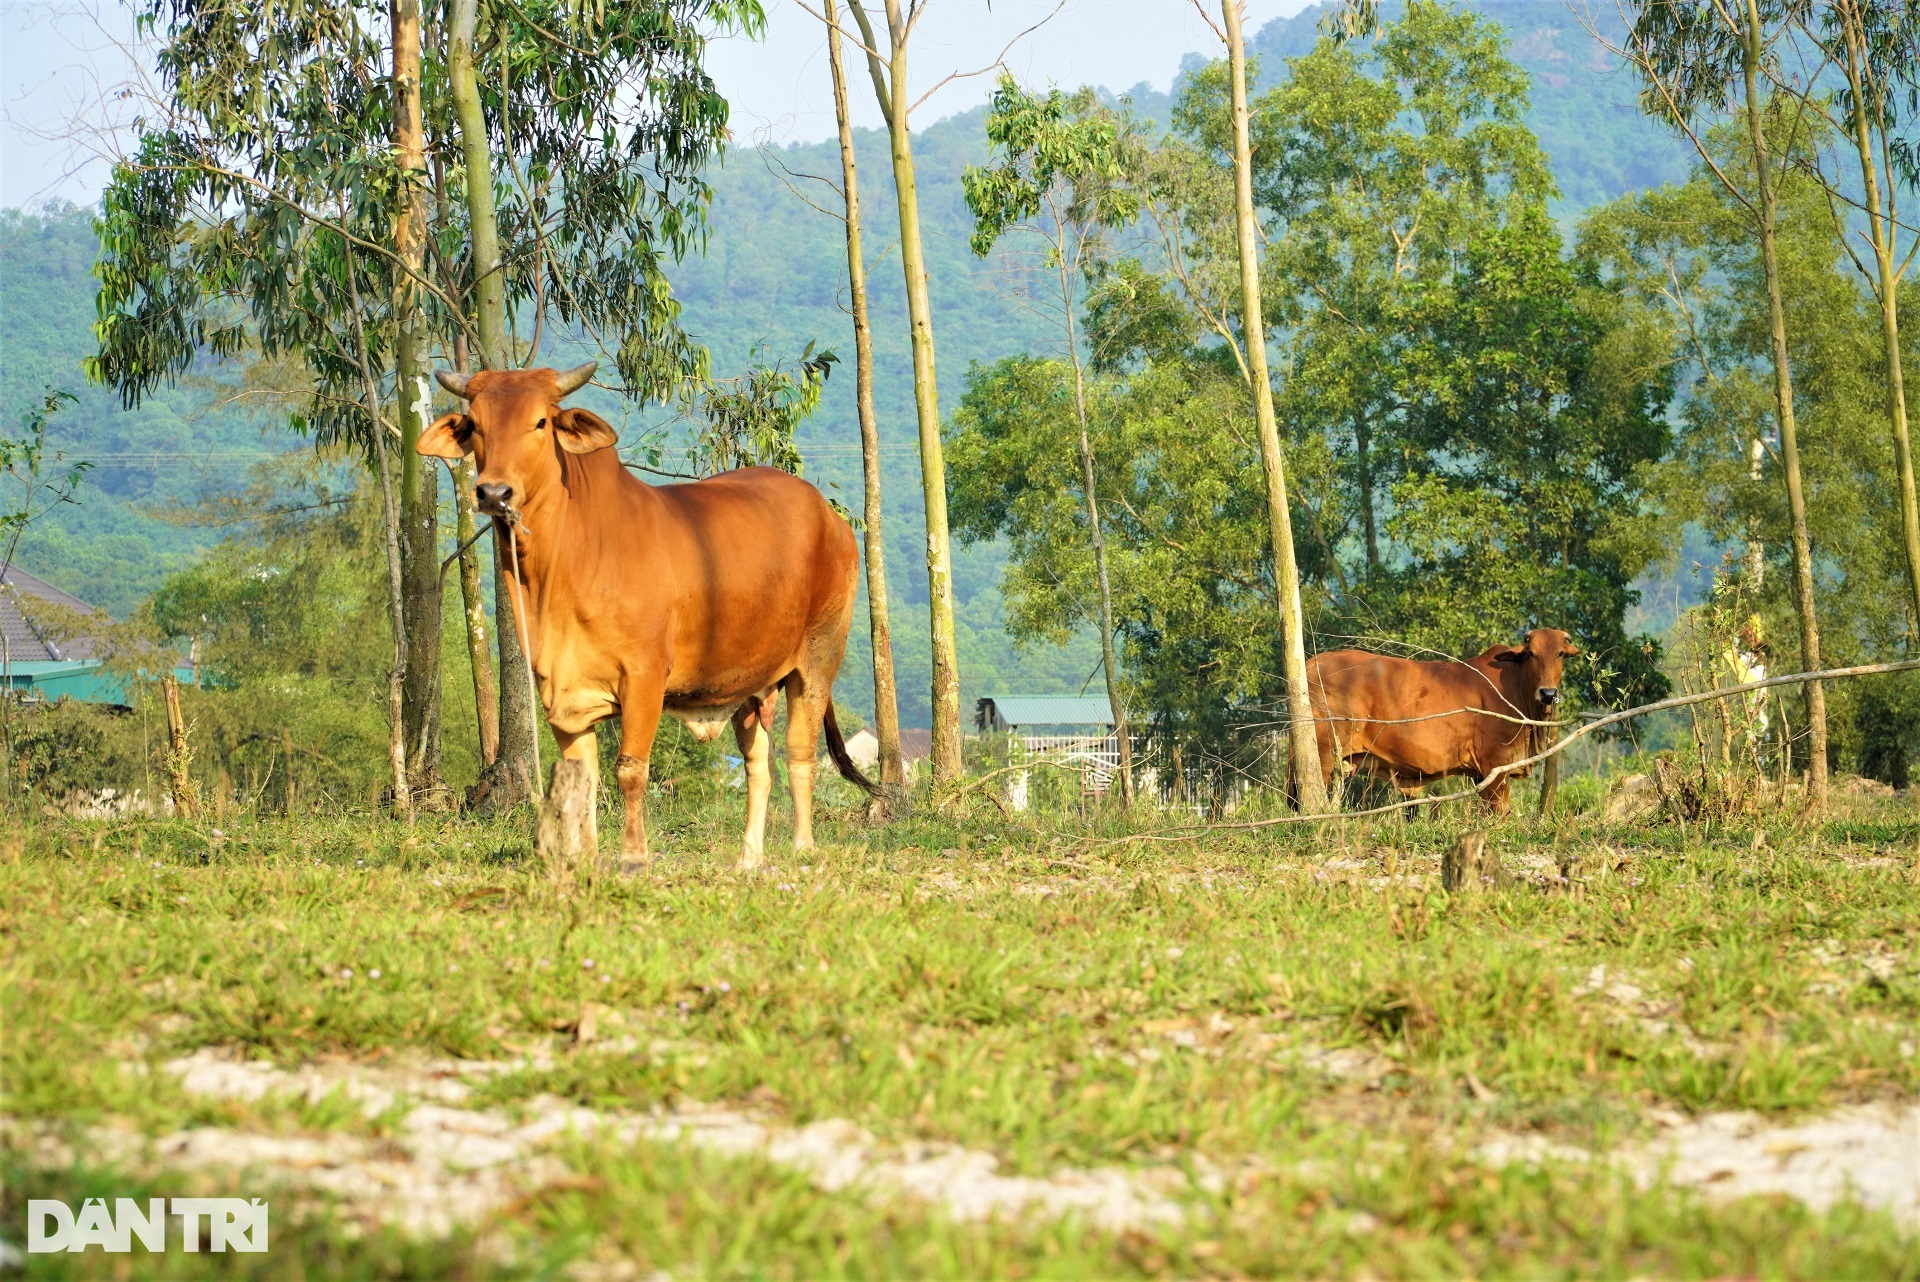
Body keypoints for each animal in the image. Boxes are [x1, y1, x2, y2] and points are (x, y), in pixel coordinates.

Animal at [422, 360, 879, 871]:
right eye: (475, 425)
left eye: (540, 422)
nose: (493, 492)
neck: (562, 566)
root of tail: (831, 517)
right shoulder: (560, 691)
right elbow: (582, 779)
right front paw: (585, 858)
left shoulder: (643, 678)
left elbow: (630, 771)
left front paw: (633, 857)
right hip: (747, 682)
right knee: (760, 764)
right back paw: (748, 858)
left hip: (817, 661)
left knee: (800, 754)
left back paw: (801, 848)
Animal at [1297, 629, 1582, 817]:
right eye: (1531, 653)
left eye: (1560, 654)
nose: (1548, 693)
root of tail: (1315, 661)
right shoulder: (1495, 762)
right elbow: (1500, 811)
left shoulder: (1481, 773)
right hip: (1323, 751)